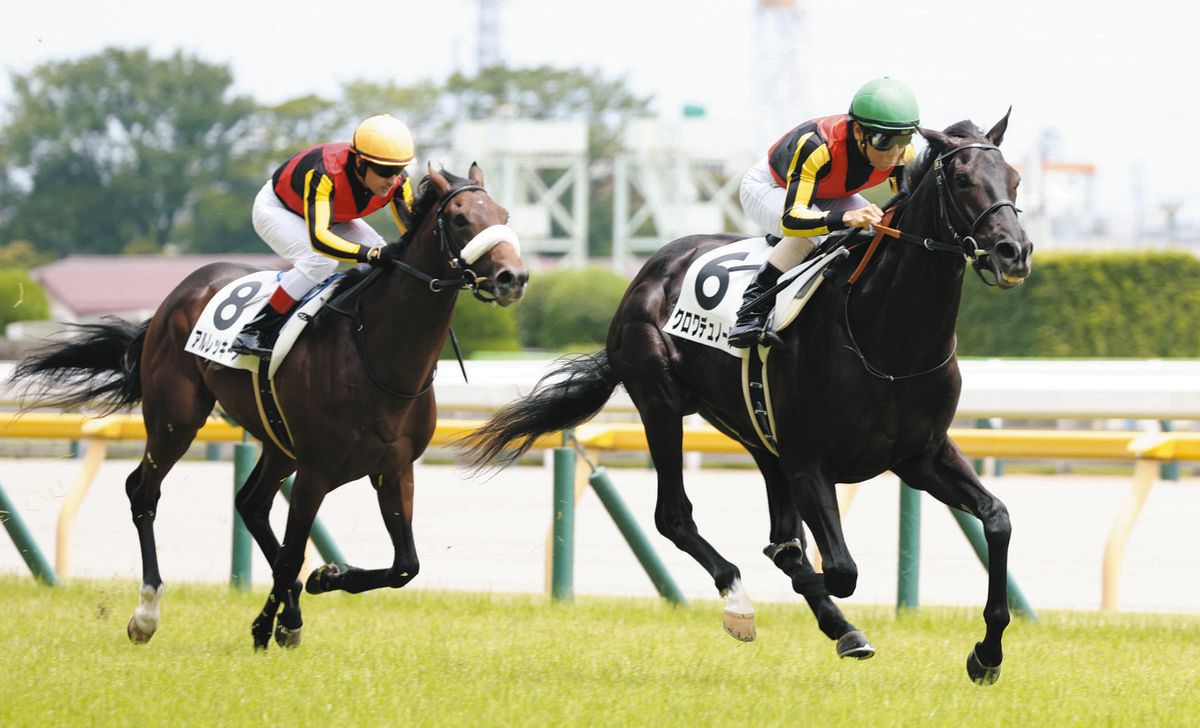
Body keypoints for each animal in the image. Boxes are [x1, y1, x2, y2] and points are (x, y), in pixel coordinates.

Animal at [12, 163, 528, 649]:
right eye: (460, 219)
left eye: (504, 215)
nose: (514, 278)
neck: (379, 356)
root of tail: (175, 296)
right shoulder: (317, 470)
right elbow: (293, 555)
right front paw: (271, 620)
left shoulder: (394, 468)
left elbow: (405, 565)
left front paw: (319, 584)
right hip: (176, 420)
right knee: (144, 491)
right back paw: (147, 613)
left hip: (278, 444)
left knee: (251, 503)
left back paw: (290, 611)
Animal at [463, 114, 1032, 685]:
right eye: (962, 179)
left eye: (1014, 178)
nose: (1014, 251)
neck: (886, 338)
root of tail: (648, 272)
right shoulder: (809, 460)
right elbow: (839, 570)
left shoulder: (920, 454)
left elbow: (998, 518)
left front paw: (987, 654)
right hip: (661, 404)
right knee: (675, 517)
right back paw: (741, 601)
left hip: (756, 431)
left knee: (776, 535)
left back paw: (833, 623)